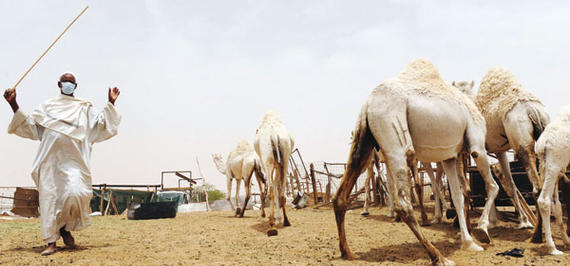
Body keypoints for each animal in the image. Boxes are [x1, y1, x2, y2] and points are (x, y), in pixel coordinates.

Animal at [332, 60, 496, 266]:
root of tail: (367, 105)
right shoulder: (477, 146)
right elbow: (492, 187)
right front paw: (482, 231)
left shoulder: (449, 157)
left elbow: (458, 196)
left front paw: (468, 242)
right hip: (394, 136)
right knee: (403, 202)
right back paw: (439, 257)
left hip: (363, 142)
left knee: (341, 195)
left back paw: (347, 252)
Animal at [472, 68, 548, 231]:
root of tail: (533, 110)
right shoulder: (499, 151)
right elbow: (510, 184)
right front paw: (523, 221)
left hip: (521, 143)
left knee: (537, 187)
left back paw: (538, 232)